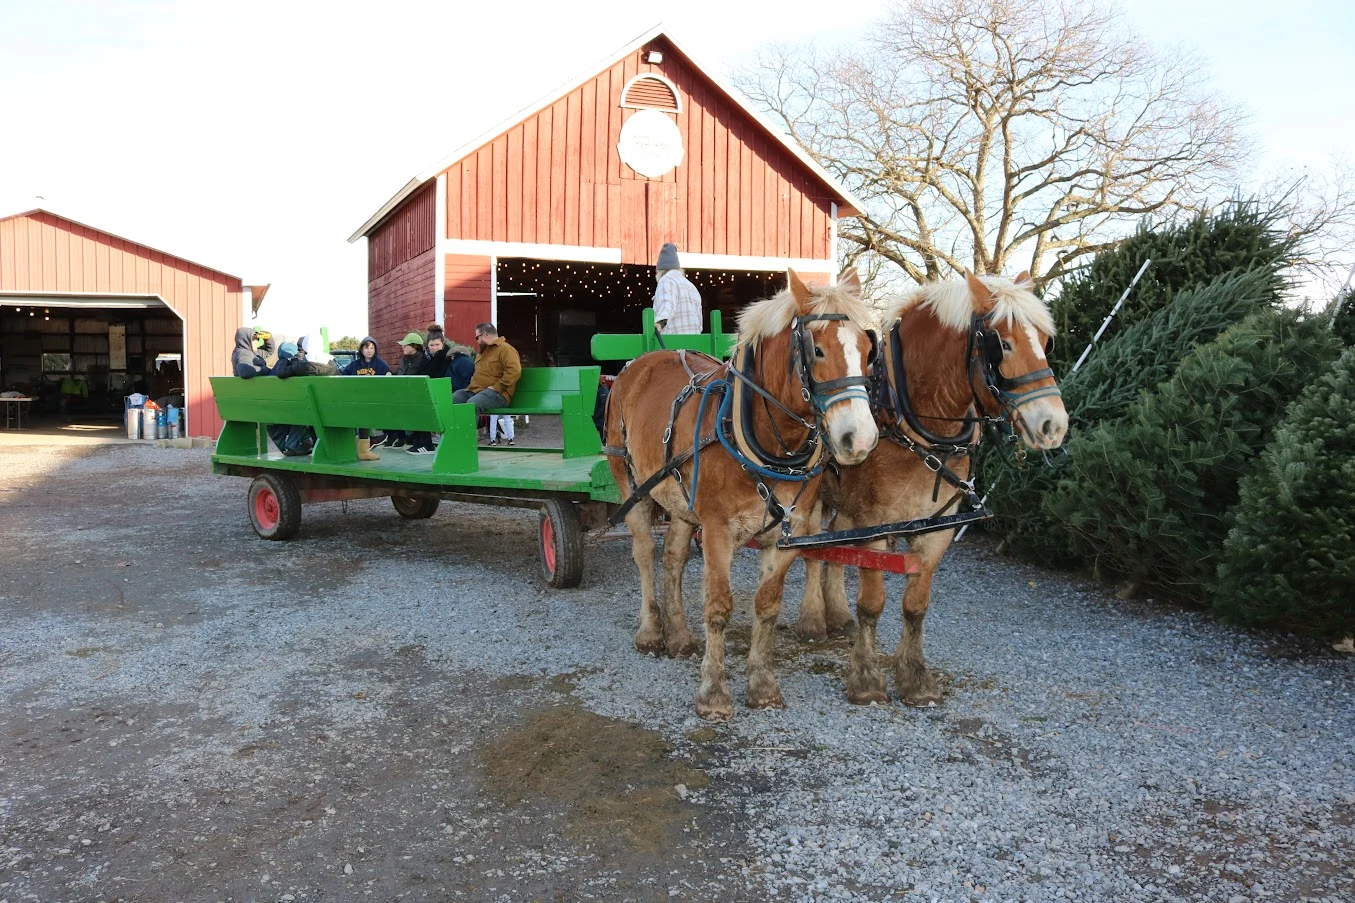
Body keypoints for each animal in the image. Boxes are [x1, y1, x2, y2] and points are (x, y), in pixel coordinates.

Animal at [605, 269, 879, 720]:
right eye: (818, 350)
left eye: (869, 349)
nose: (859, 439)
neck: (765, 441)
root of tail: (641, 362)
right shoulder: (717, 531)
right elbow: (718, 607)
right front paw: (713, 692)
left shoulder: (788, 532)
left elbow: (766, 607)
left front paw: (762, 684)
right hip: (632, 484)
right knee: (644, 553)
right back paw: (650, 630)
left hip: (681, 501)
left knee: (674, 558)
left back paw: (678, 634)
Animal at [795, 271, 1068, 706]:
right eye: (1003, 344)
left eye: (1045, 342)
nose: (1053, 425)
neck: (908, 418)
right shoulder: (876, 523)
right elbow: (873, 603)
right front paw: (866, 678)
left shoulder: (935, 528)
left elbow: (915, 606)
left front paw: (914, 677)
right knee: (810, 550)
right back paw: (812, 618)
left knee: (836, 546)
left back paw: (836, 612)